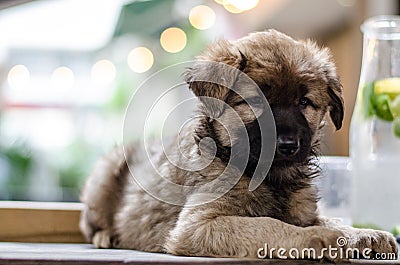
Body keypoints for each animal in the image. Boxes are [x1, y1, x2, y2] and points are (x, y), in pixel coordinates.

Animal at [79, 29, 398, 260]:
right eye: (256, 100)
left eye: (304, 102)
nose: (288, 144)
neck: (269, 177)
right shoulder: (197, 225)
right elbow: (268, 224)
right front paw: (318, 239)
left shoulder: (305, 212)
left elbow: (330, 219)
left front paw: (364, 234)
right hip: (104, 173)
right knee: (89, 223)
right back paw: (105, 236)